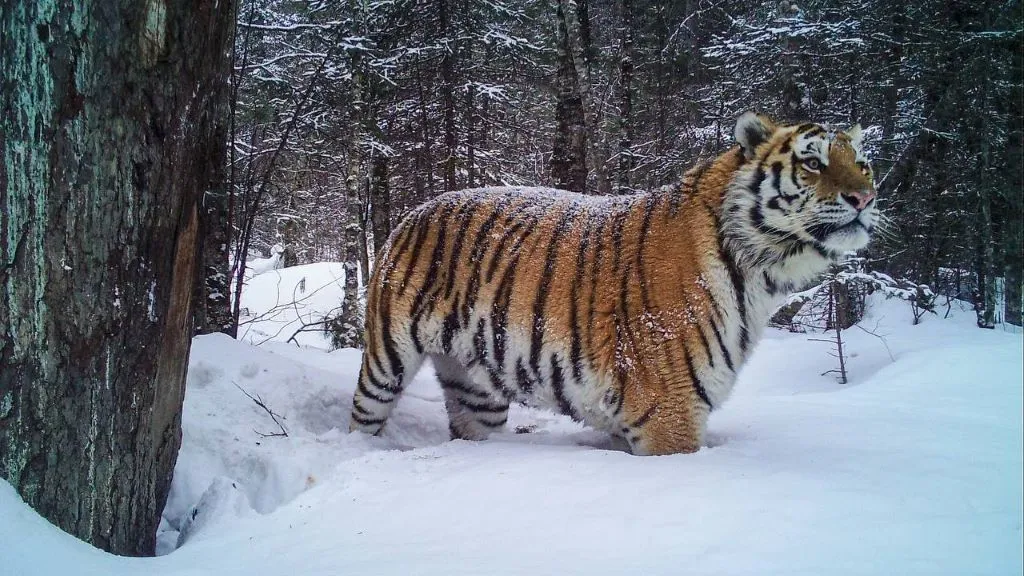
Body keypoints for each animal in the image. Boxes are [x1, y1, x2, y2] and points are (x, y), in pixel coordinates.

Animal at [348, 111, 876, 453]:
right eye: (813, 162)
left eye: (863, 163)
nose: (865, 198)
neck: (760, 271)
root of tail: (412, 213)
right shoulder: (671, 413)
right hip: (386, 360)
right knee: (363, 416)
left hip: (475, 388)